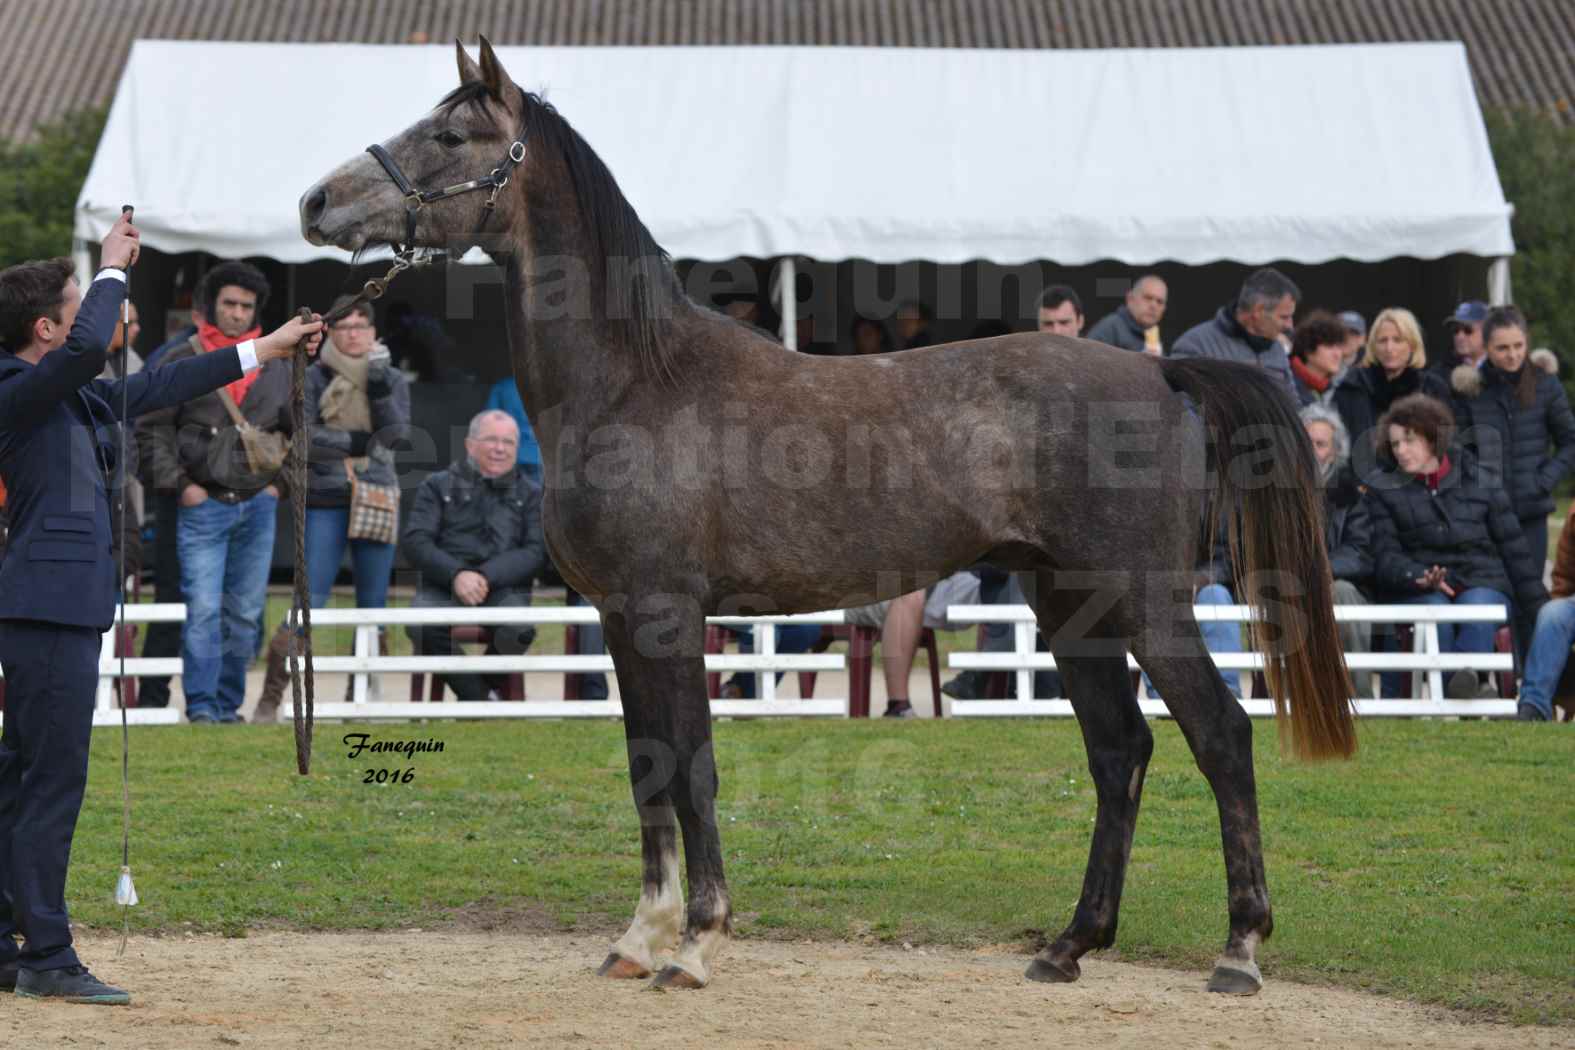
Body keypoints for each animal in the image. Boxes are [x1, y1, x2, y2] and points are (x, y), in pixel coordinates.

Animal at [303, 38, 1354, 994]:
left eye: (450, 134)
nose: (316, 202)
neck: (639, 380)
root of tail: (1160, 370)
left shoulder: (668, 613)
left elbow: (691, 768)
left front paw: (694, 945)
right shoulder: (618, 617)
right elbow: (648, 767)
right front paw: (638, 938)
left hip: (1143, 601)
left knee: (1220, 737)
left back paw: (1238, 952)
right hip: (1070, 608)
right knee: (1119, 751)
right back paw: (1067, 947)